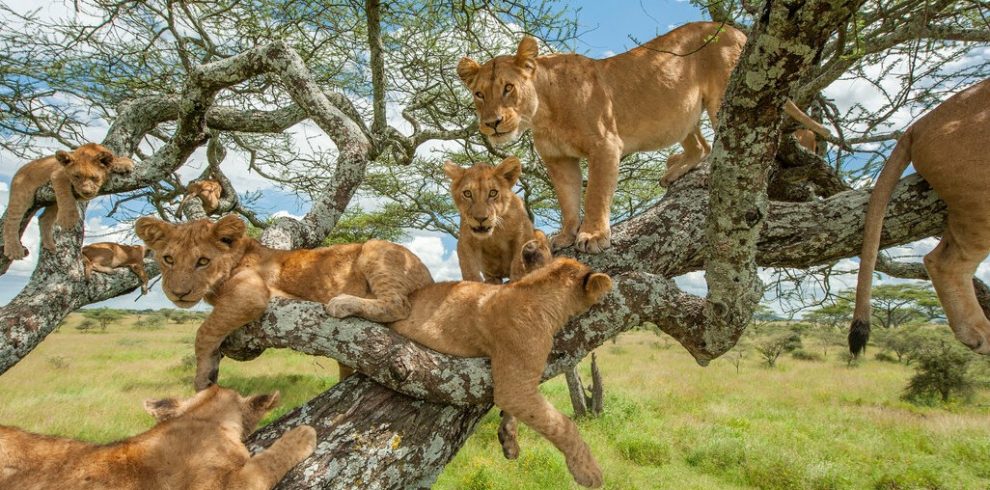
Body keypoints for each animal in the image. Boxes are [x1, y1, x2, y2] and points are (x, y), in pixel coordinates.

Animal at [3, 143, 134, 260]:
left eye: (94, 177)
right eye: (76, 176)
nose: (86, 192)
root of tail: (21, 169)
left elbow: (113, 158)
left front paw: (124, 162)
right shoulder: (58, 175)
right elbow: (65, 195)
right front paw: (68, 220)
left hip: (53, 203)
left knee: (44, 218)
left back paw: (50, 245)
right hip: (22, 196)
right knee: (11, 221)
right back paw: (14, 250)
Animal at [135, 214, 434, 390]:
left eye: (203, 261)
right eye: (168, 259)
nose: (178, 293)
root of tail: (428, 274)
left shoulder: (252, 294)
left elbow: (204, 331)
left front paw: (202, 379)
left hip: (374, 247)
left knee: (398, 304)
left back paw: (342, 302)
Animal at [457, 22, 831, 253]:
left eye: (508, 88)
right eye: (479, 94)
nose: (491, 123)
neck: (543, 113)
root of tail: (733, 29)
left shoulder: (605, 145)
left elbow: (595, 195)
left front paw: (592, 235)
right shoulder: (558, 159)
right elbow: (567, 199)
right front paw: (565, 234)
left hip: (727, 94)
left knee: (734, 142)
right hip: (682, 116)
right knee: (702, 145)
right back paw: (675, 170)